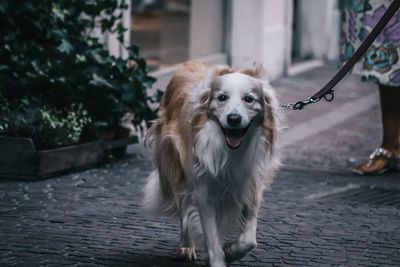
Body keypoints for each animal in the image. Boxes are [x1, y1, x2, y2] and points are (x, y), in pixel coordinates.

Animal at [145, 61, 282, 267]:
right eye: (222, 98)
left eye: (249, 99)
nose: (234, 118)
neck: (229, 150)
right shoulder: (203, 191)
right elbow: (211, 236)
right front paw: (218, 256)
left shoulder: (250, 186)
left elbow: (248, 240)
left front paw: (231, 251)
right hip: (176, 167)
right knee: (184, 207)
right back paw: (186, 246)